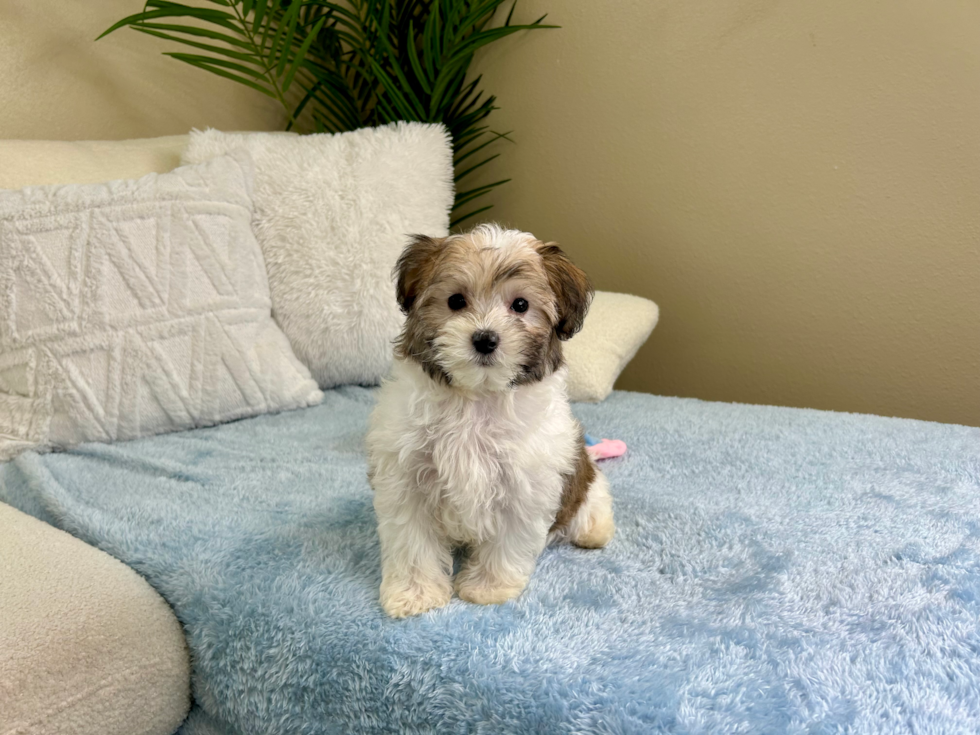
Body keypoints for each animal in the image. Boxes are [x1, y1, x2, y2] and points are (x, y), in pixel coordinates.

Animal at [368, 226, 612, 620]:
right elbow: (412, 541)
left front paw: (489, 586)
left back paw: (594, 531)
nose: (484, 339)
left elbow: (508, 540)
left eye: (520, 306)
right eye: (455, 301)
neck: (476, 397)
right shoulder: (406, 478)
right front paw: (415, 593)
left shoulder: (525, 481)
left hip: (584, 482)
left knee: (594, 503)